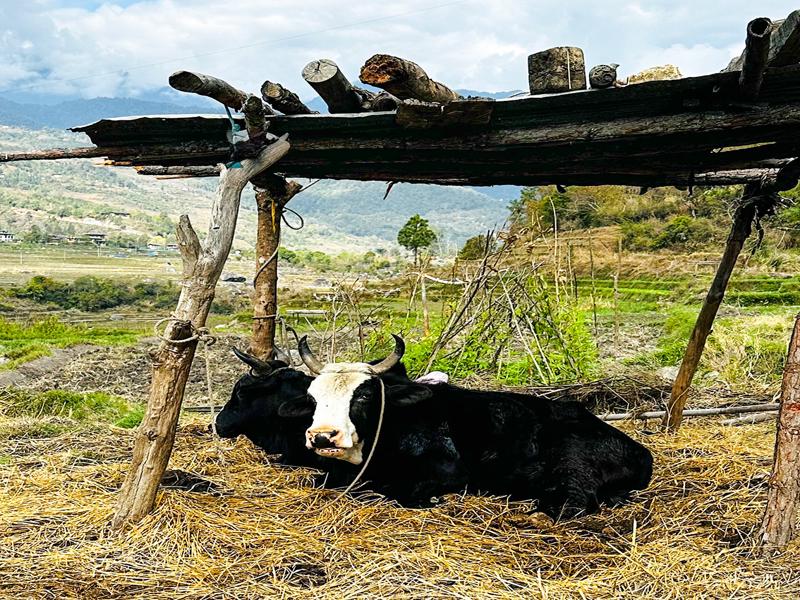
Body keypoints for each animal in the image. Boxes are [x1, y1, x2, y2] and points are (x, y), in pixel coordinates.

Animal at [286, 334, 653, 519]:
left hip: (571, 460)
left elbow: (402, 492)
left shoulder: (448, 472)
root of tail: (641, 452)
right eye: (314, 397)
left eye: (363, 396)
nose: (322, 437)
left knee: (575, 503)